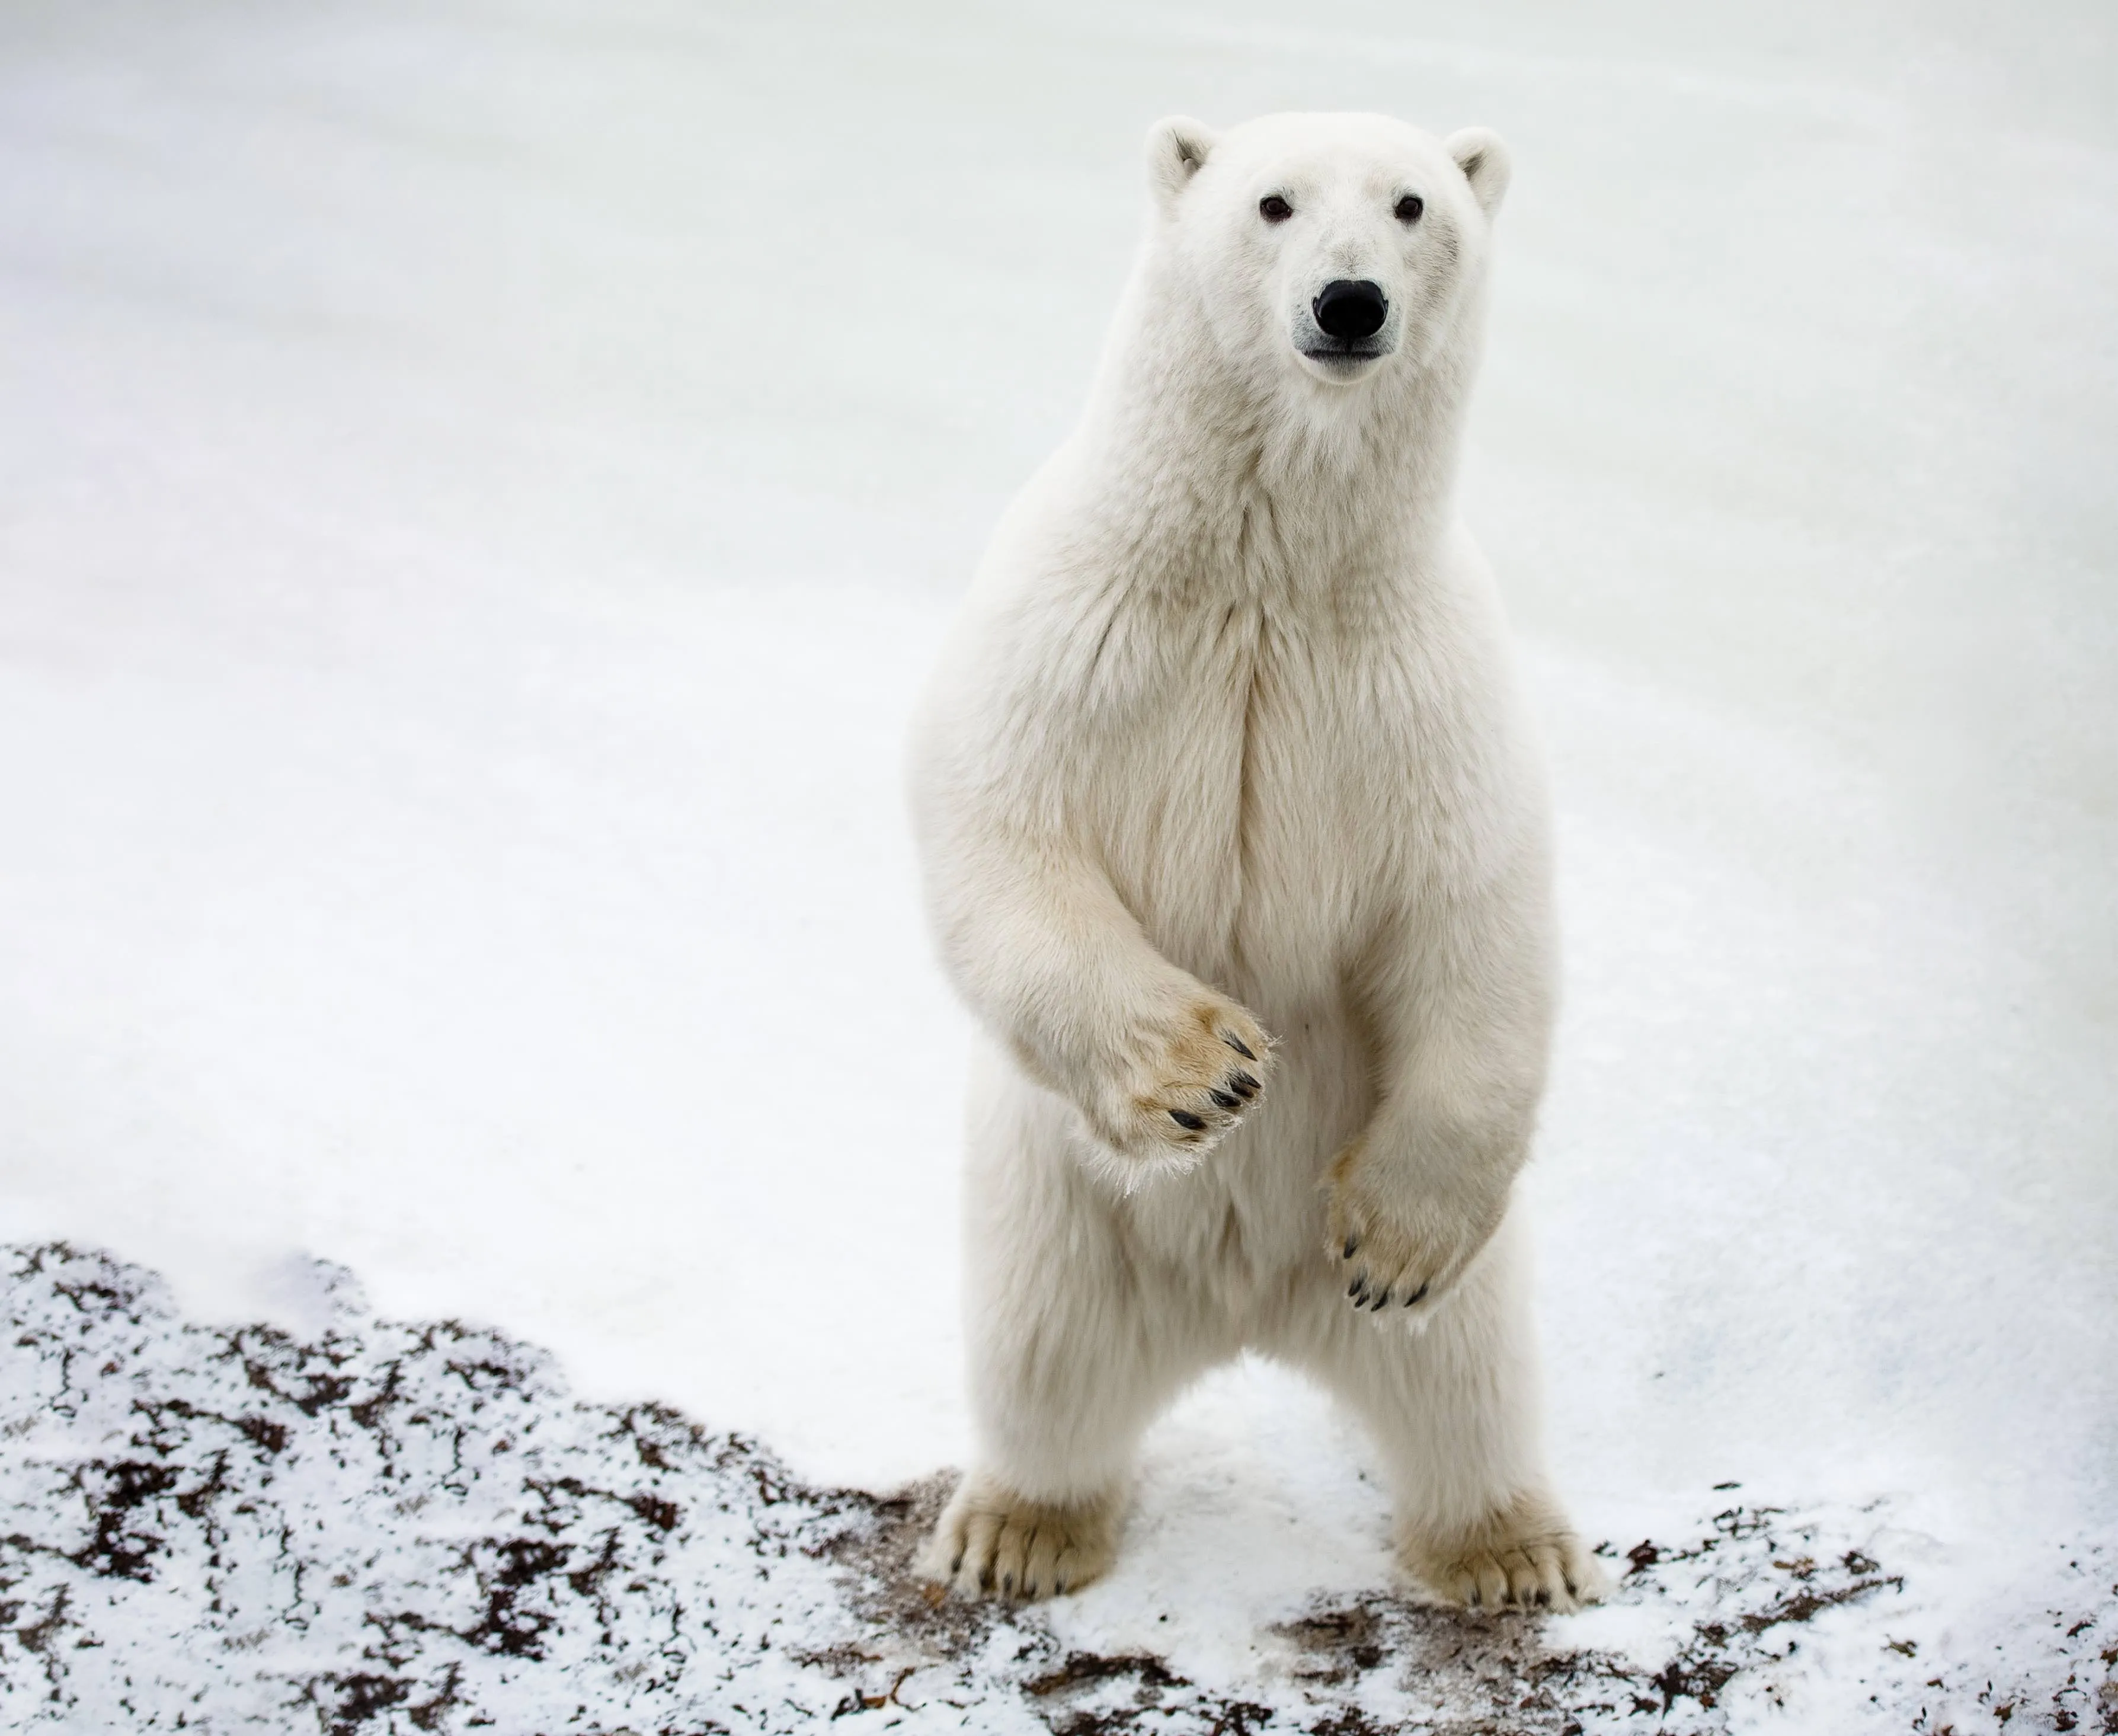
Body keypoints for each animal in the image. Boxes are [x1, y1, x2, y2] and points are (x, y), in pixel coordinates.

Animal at [906, 111, 1601, 1613]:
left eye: (1411, 204)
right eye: (1272, 202)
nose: (1348, 303)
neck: (1263, 582)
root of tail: (1240, 1312)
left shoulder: (1420, 687)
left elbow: (1472, 915)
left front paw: (1388, 1239)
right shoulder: (1076, 627)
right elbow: (1007, 831)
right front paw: (1207, 1070)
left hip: (1440, 1272)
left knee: (1465, 1377)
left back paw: (1509, 1548)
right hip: (1060, 1215)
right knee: (1041, 1363)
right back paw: (1019, 1527)